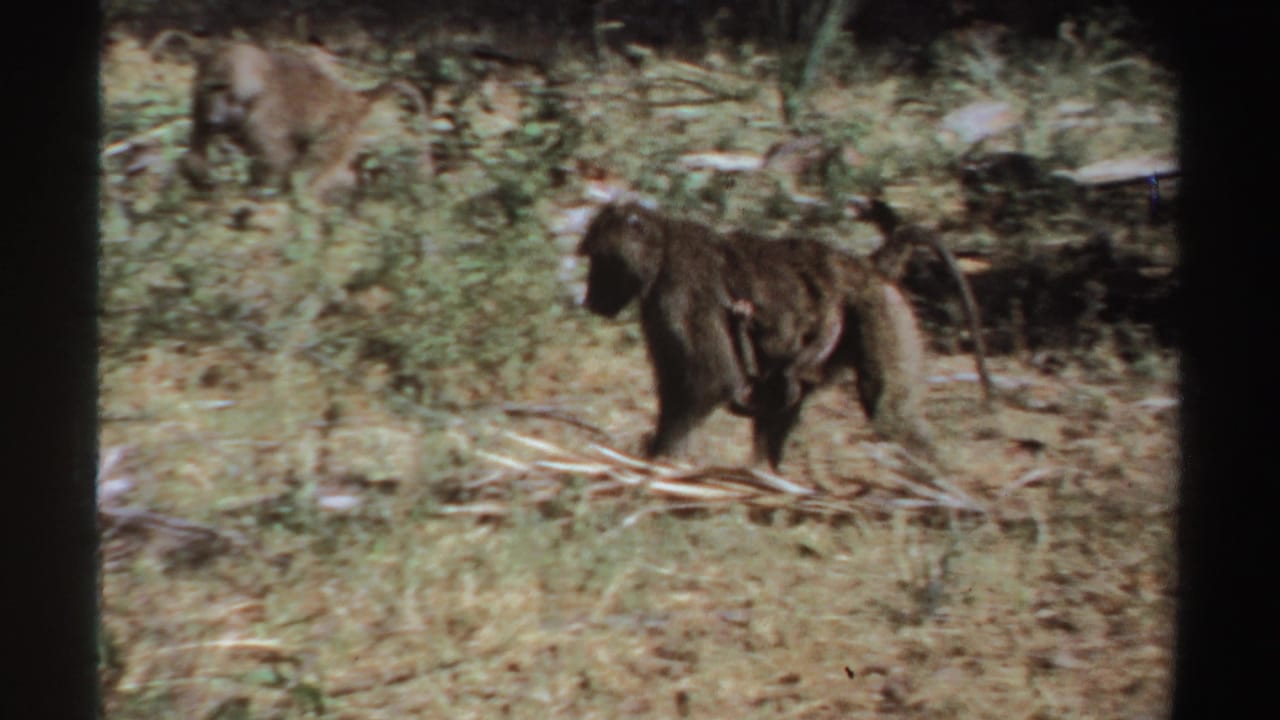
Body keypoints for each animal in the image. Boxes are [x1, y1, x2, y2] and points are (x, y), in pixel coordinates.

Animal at [149, 32, 430, 203]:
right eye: (211, 88)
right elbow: (196, 152)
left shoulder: (264, 115)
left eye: (223, 88)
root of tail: (354, 97)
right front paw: (203, 182)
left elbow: (278, 162)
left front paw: (254, 196)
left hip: (340, 128)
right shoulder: (198, 100)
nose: (214, 119)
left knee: (305, 175)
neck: (256, 82)